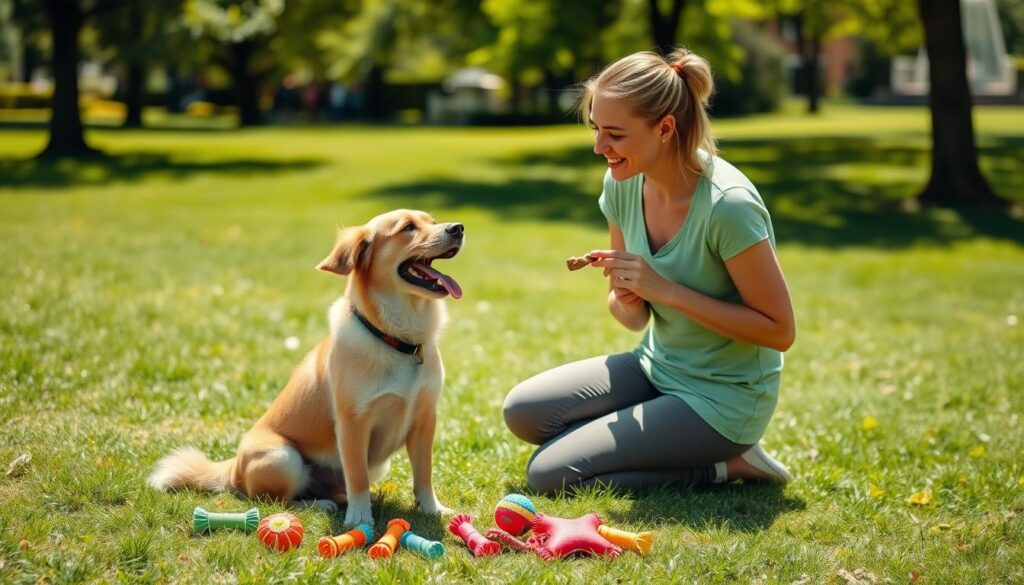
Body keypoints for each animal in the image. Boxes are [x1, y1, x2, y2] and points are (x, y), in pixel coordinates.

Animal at [146, 209, 462, 524]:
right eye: (408, 227)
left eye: (433, 222)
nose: (457, 228)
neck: (399, 340)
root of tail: (232, 468)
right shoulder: (353, 423)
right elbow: (357, 477)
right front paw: (360, 520)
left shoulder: (425, 420)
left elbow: (424, 474)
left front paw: (433, 509)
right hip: (282, 458)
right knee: (277, 499)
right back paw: (320, 504)